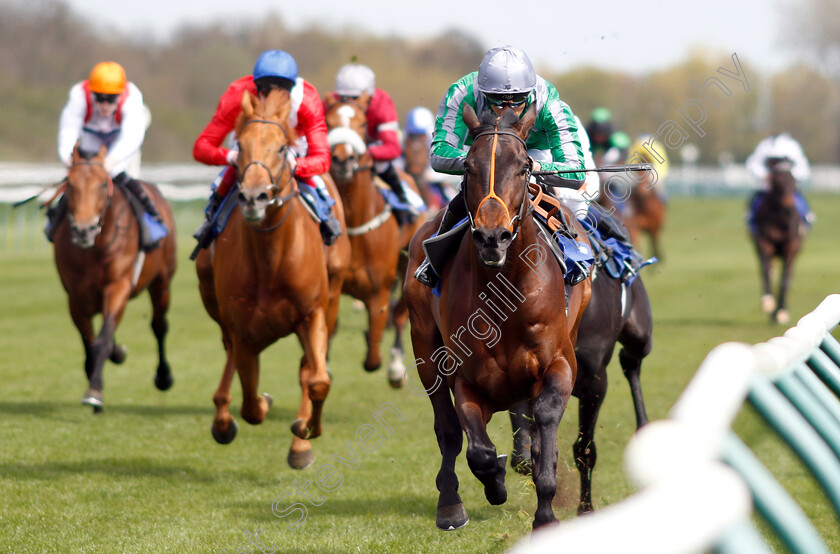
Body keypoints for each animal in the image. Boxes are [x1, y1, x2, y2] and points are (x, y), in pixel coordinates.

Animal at [53, 142, 177, 410]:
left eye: (102, 184)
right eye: (70, 183)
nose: (83, 230)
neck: (95, 249)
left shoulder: (118, 285)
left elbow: (103, 338)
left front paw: (94, 391)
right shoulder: (75, 296)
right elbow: (90, 340)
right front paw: (106, 361)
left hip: (162, 282)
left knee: (159, 325)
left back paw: (163, 376)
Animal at [195, 88, 350, 468]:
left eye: (281, 148)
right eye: (240, 145)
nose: (254, 197)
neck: (270, 258)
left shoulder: (312, 314)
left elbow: (318, 380)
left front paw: (306, 433)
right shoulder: (241, 328)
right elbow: (251, 403)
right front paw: (252, 407)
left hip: (333, 297)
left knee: (309, 369)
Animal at [324, 97, 424, 386]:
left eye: (361, 124)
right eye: (329, 123)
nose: (342, 159)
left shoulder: (379, 292)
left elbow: (373, 355)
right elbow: (328, 327)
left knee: (400, 315)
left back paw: (396, 366)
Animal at [406, 104, 592, 532]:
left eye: (524, 167)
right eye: (468, 166)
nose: (493, 237)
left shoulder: (559, 362)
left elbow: (544, 418)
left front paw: (545, 513)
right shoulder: (467, 377)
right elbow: (477, 449)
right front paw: (496, 483)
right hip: (424, 345)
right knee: (446, 427)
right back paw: (450, 505)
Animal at [752, 160, 804, 324]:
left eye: (793, 180)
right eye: (777, 181)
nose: (788, 206)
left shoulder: (791, 246)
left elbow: (785, 279)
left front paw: (781, 312)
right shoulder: (764, 242)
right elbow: (765, 270)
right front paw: (768, 302)